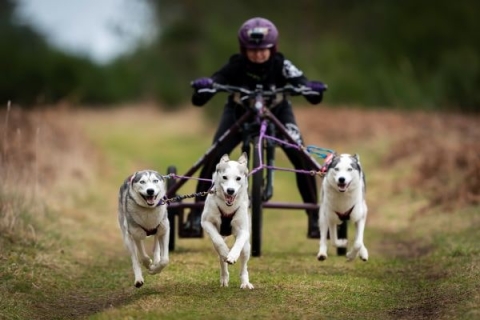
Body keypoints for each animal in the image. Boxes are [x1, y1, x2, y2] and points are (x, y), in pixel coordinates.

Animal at [201, 152, 255, 290]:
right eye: (224, 177)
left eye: (238, 178)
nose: (230, 190)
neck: (227, 207)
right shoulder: (206, 222)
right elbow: (218, 242)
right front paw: (226, 252)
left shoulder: (243, 230)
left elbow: (238, 243)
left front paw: (232, 255)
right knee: (220, 257)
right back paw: (224, 277)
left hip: (247, 248)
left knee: (244, 265)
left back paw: (245, 282)